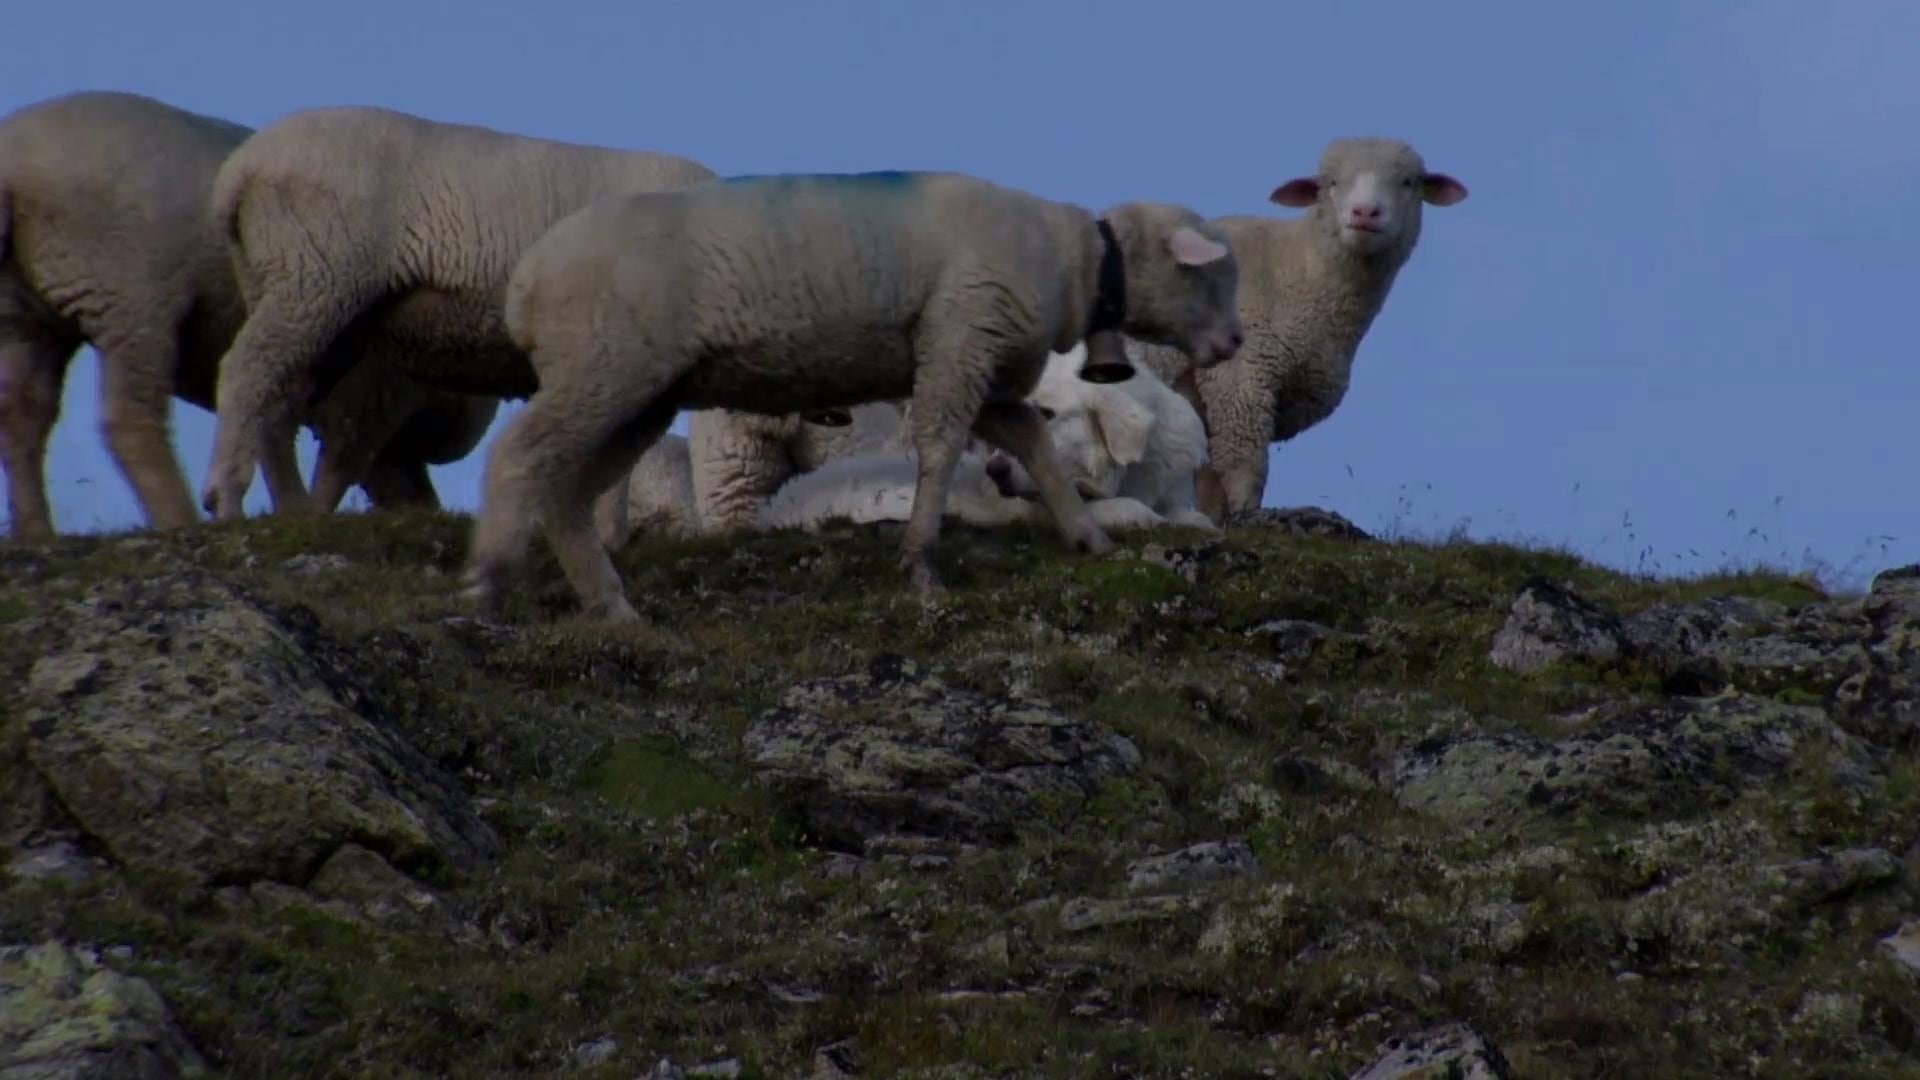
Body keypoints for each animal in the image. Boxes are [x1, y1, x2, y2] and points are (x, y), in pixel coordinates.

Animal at [1, 89, 495, 538]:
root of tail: (13, 168)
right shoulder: (370, 397)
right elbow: (338, 466)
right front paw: (310, 513)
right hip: (131, 298)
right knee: (129, 418)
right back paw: (177, 516)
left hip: (26, 316)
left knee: (23, 415)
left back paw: (35, 532)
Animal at [194, 102, 721, 522]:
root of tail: (239, 172)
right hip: (312, 278)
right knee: (248, 370)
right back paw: (226, 499)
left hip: (318, 306)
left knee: (280, 396)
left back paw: (295, 510)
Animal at [1121, 136, 1466, 522]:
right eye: (1331, 182)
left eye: (1408, 182)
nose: (1364, 213)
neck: (1295, 271)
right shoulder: (1240, 381)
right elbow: (1245, 468)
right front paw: (1247, 516)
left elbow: (1210, 482)